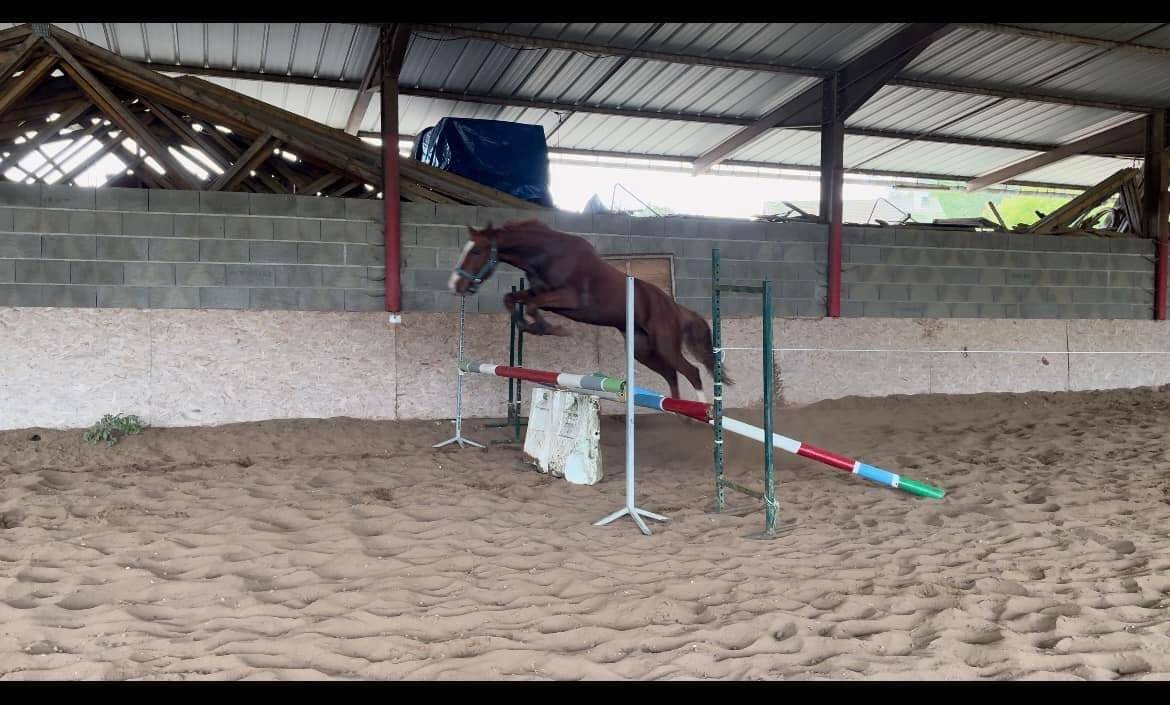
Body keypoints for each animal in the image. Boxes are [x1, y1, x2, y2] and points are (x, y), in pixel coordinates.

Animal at [448, 219, 730, 402]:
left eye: (476, 251)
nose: (455, 285)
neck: (546, 253)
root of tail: (675, 308)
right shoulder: (540, 293)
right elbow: (513, 299)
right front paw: (529, 326)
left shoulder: (569, 299)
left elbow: (531, 306)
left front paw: (550, 329)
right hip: (643, 350)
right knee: (671, 373)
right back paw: (682, 413)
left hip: (664, 344)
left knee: (691, 371)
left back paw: (703, 412)